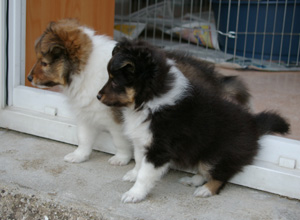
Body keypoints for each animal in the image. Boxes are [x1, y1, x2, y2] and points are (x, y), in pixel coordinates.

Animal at [27, 19, 132, 165]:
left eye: (44, 63)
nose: (28, 78)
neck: (84, 70)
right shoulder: (86, 113)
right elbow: (83, 138)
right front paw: (79, 156)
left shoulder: (116, 119)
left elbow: (119, 141)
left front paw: (121, 158)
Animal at [97, 39, 290, 203]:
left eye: (115, 82)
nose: (98, 96)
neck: (150, 100)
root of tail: (254, 125)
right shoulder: (142, 140)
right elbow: (138, 161)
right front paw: (133, 174)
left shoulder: (159, 149)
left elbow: (145, 174)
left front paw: (134, 194)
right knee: (205, 171)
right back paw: (193, 180)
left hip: (217, 155)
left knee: (220, 175)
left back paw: (206, 190)